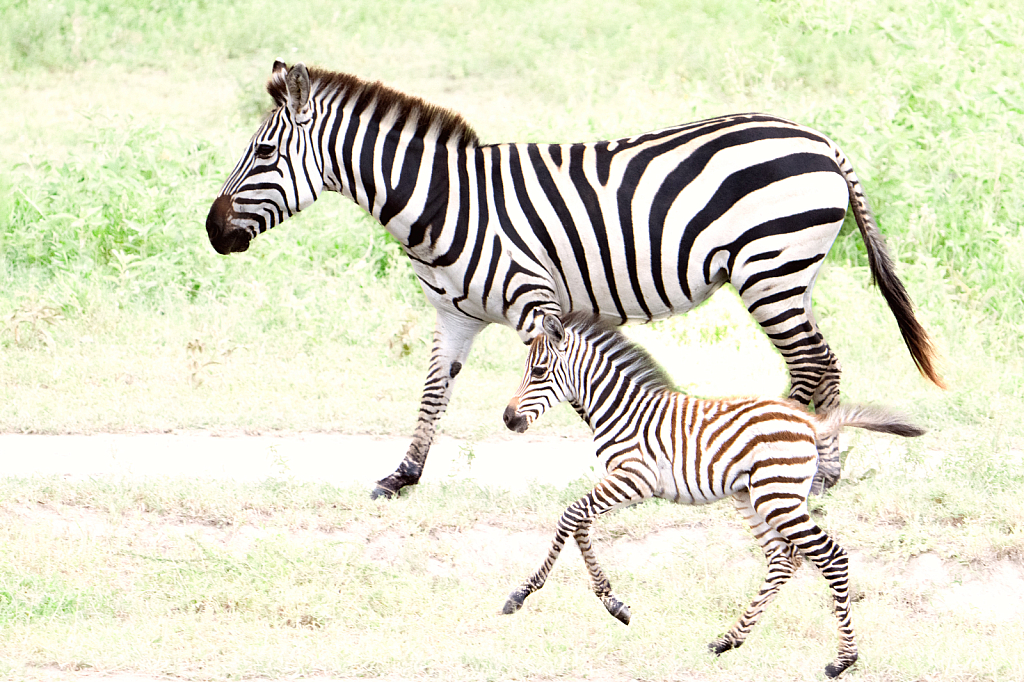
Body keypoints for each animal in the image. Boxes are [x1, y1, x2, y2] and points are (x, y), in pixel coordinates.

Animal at [205, 61, 942, 497]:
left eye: (263, 153)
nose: (212, 231)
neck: (444, 202)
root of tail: (818, 139)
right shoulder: (454, 314)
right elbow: (434, 395)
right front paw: (404, 475)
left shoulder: (537, 302)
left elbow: (559, 387)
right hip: (790, 275)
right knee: (817, 365)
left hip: (771, 271)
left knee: (818, 366)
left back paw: (812, 471)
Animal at [499, 311, 925, 675]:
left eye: (539, 371)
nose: (508, 419)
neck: (620, 410)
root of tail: (810, 422)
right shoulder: (620, 481)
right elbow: (581, 524)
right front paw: (614, 603)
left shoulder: (635, 478)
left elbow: (570, 517)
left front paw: (522, 594)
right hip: (752, 497)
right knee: (783, 559)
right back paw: (727, 641)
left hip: (777, 497)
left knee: (830, 556)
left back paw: (843, 660)